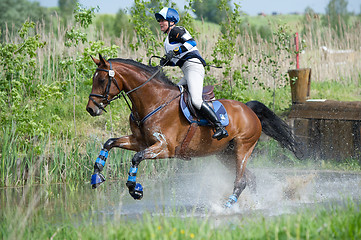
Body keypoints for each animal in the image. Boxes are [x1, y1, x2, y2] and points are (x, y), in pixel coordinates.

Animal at [86, 53, 302, 207]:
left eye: (102, 80)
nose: (91, 109)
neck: (153, 101)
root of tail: (248, 109)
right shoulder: (140, 141)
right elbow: (109, 143)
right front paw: (97, 175)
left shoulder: (164, 147)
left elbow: (136, 157)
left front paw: (134, 189)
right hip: (225, 154)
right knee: (251, 178)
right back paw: (256, 205)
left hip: (243, 147)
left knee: (241, 181)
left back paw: (226, 206)